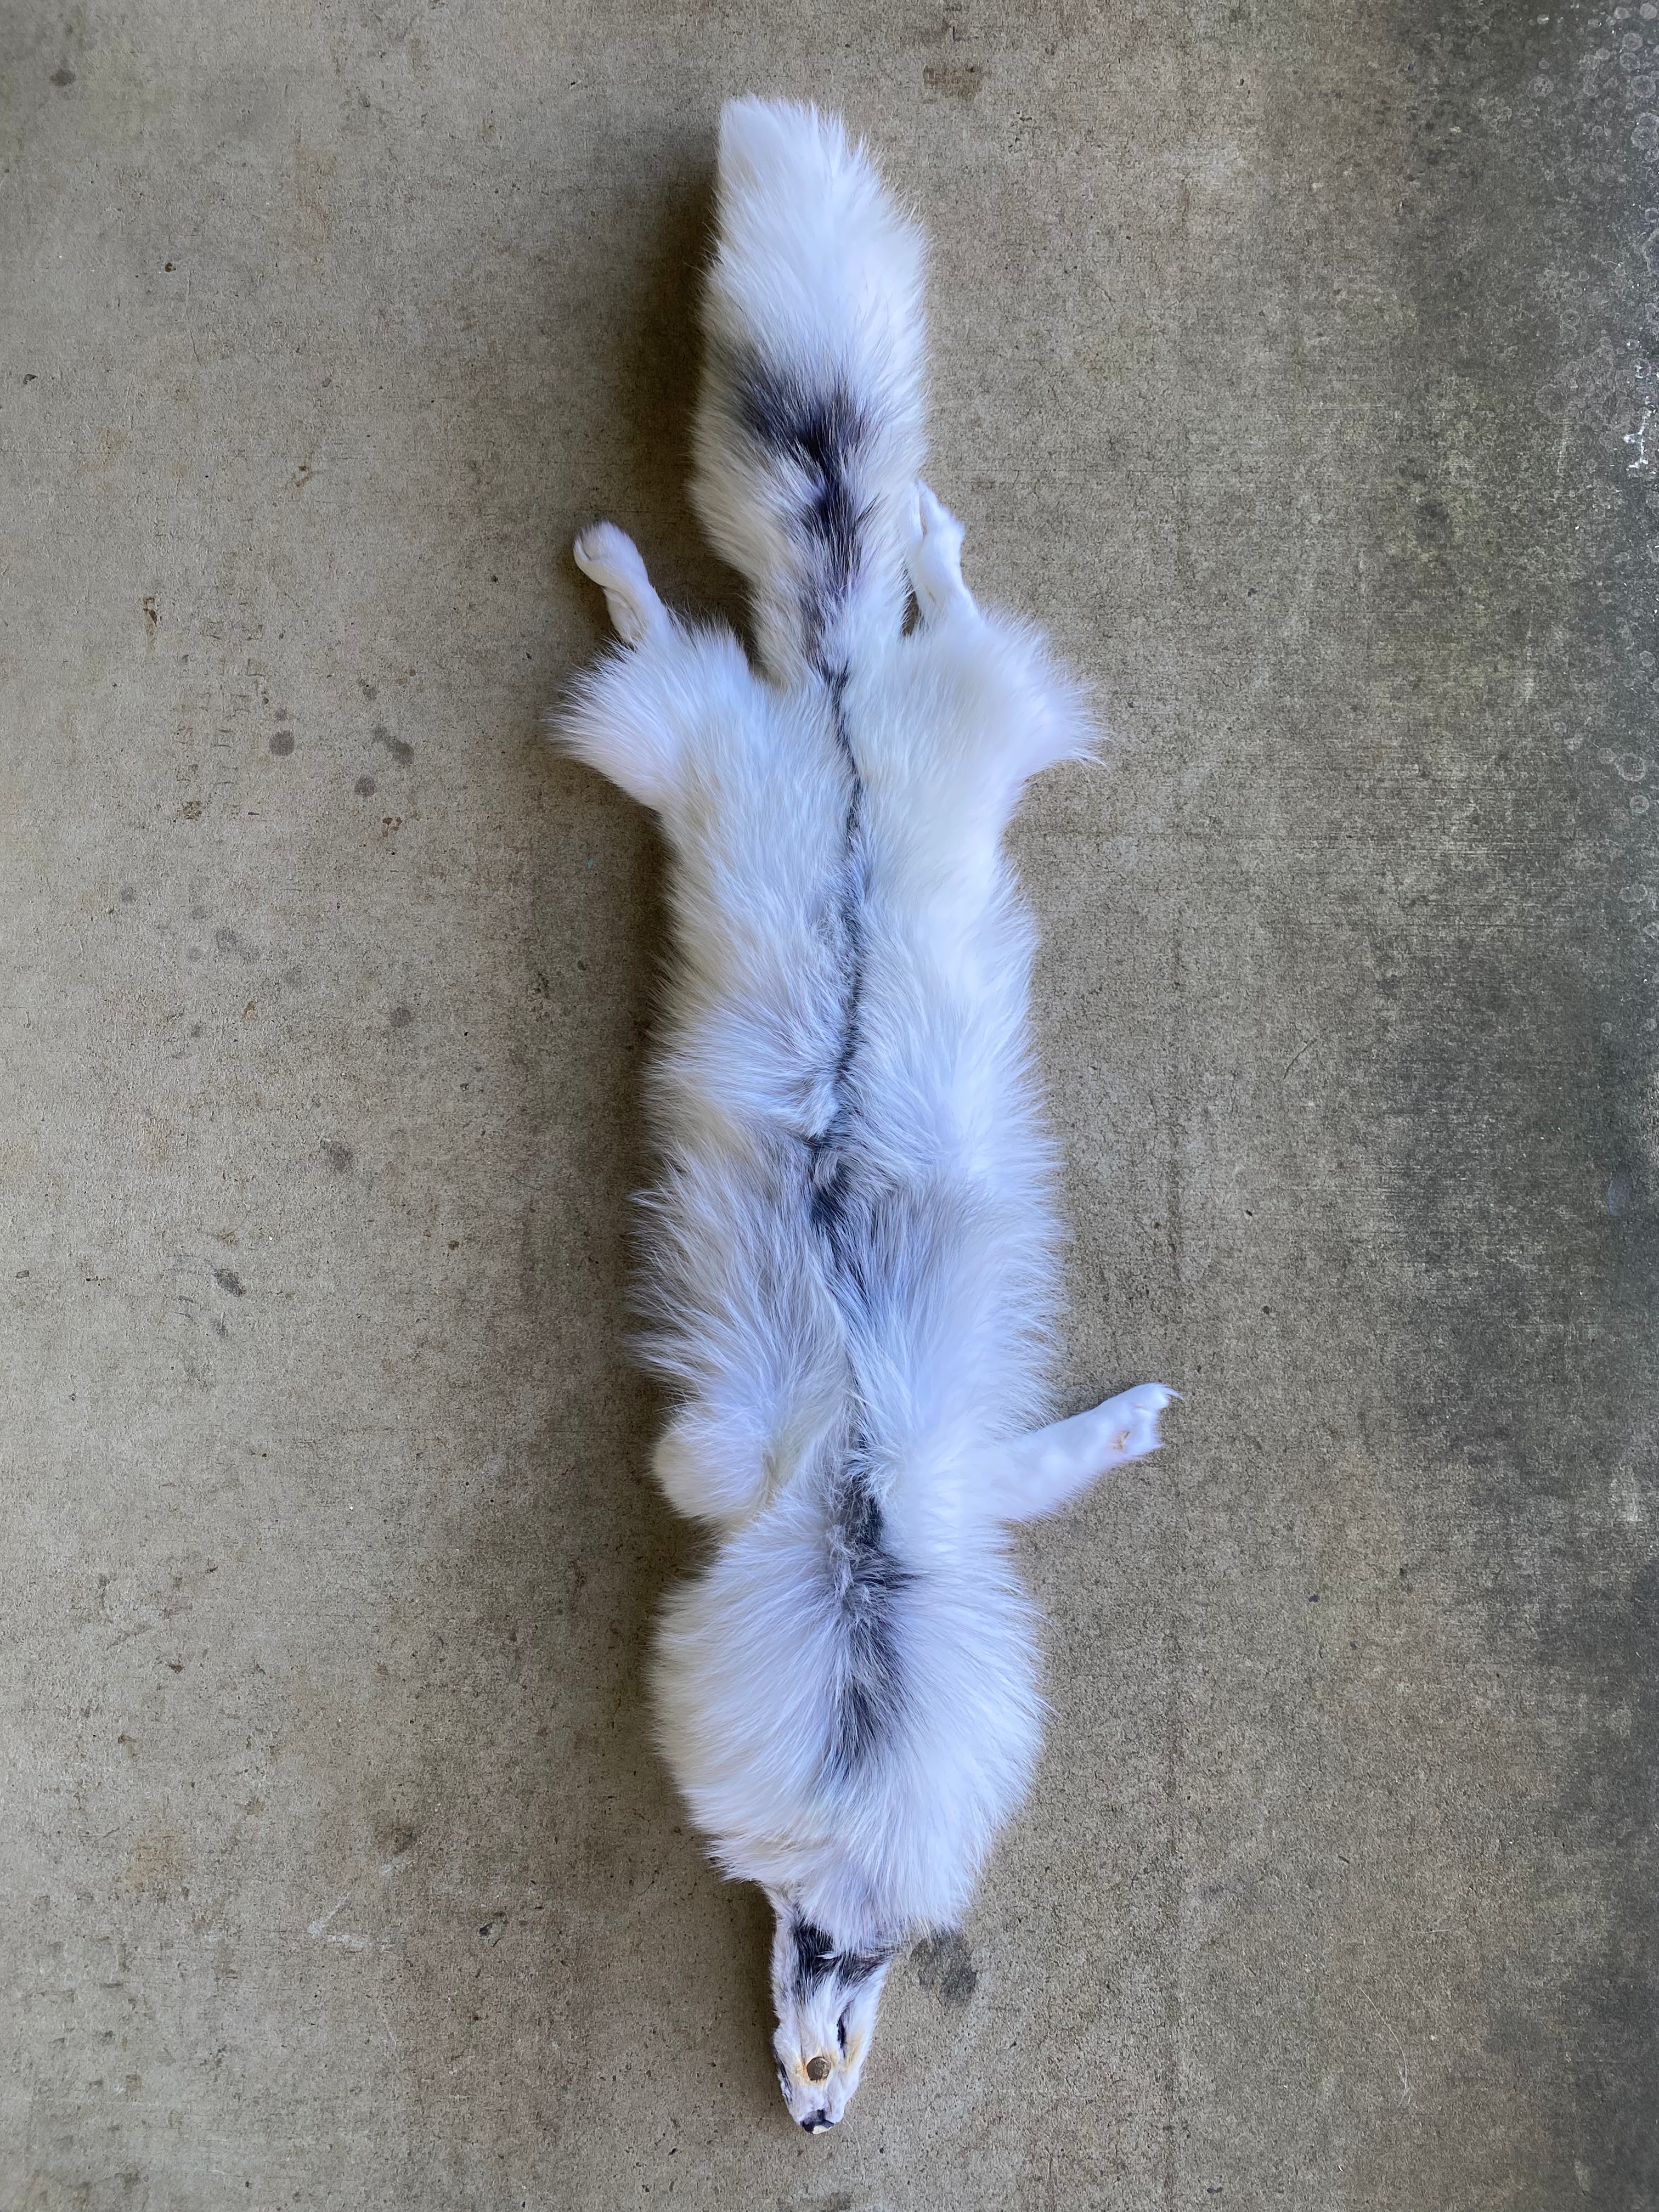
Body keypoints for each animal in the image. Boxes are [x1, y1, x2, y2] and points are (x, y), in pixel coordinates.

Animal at [554, 96, 1174, 2131]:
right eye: (817, 1986)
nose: (811, 2121)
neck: (859, 1544)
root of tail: (827, 709)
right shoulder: (770, 1469)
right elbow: (699, 1466)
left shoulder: (926, 1483)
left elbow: (1060, 1455)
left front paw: (1136, 1420)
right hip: (718, 748)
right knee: (714, 627)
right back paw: (656, 550)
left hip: (898, 737)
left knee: (880, 607)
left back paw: (873, 544)